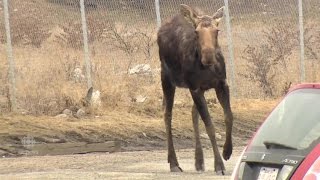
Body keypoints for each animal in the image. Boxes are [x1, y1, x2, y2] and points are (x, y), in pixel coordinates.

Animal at [157, 3, 234, 174]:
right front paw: (219, 165)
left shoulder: (221, 83)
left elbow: (229, 116)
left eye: (217, 30)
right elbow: (210, 125)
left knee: (193, 112)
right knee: (167, 114)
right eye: (197, 32)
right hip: (166, 78)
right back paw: (173, 163)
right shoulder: (195, 88)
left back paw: (199, 161)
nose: (208, 56)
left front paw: (227, 151)